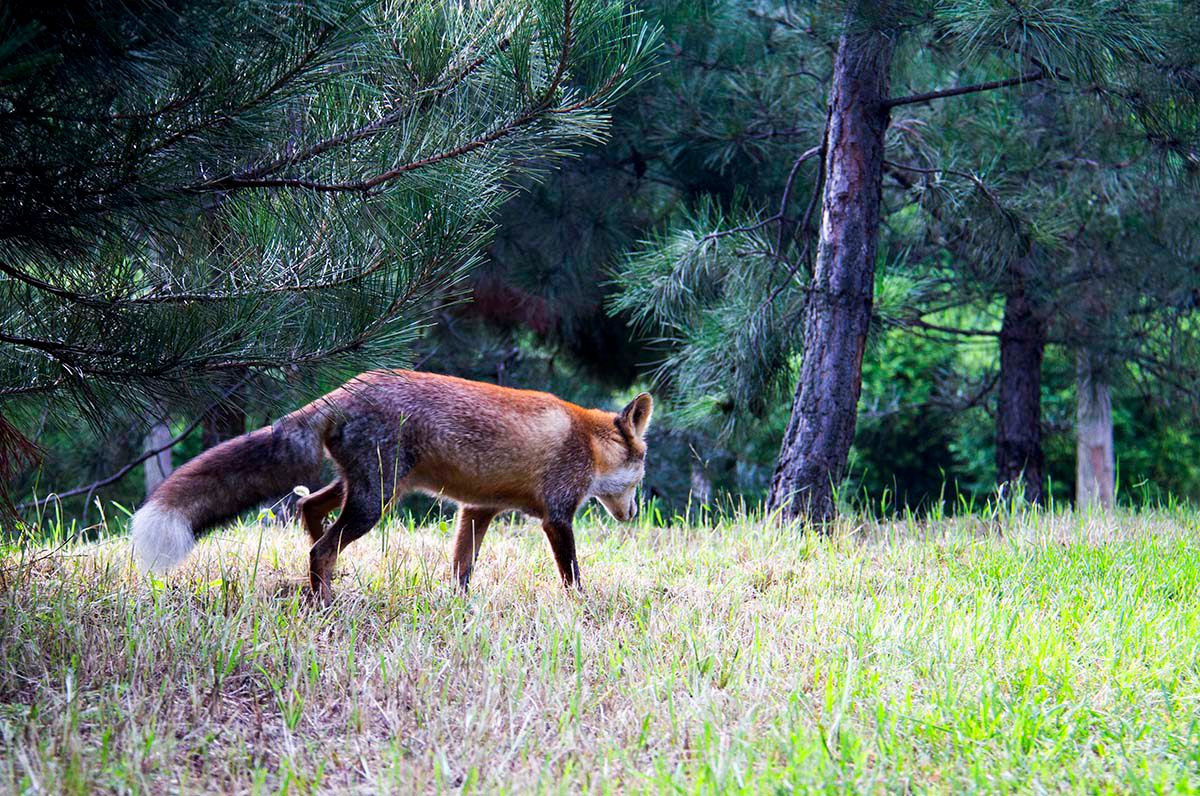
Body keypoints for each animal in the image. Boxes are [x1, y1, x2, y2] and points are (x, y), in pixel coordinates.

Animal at [130, 369, 652, 600]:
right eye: (643, 472)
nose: (633, 515)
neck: (586, 440)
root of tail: (346, 388)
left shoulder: (477, 510)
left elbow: (462, 569)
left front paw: (459, 609)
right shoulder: (557, 516)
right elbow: (573, 575)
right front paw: (583, 609)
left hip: (365, 488)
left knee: (310, 512)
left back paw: (325, 585)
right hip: (375, 500)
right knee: (320, 547)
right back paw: (325, 603)